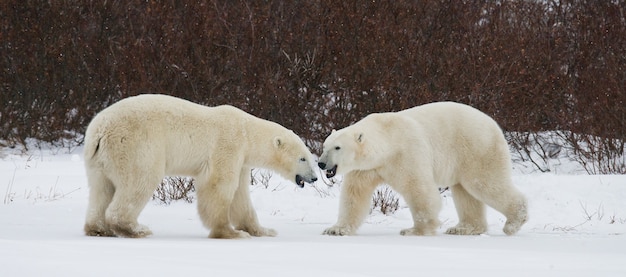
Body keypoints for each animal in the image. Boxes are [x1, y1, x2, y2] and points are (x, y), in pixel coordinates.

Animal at [83, 94, 316, 238]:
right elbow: (218, 187)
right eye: (303, 158)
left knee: (101, 189)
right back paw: (136, 229)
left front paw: (264, 230)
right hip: (135, 146)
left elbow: (240, 196)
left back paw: (98, 229)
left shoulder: (241, 161)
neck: (247, 133)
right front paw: (229, 232)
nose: (314, 177)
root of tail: (100, 131)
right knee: (140, 181)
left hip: (99, 160)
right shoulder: (228, 146)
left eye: (308, 156)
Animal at [316, 101, 528, 235]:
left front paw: (415, 230)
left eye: (337, 147)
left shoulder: (406, 153)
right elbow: (354, 196)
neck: (387, 139)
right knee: (465, 193)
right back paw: (463, 228)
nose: (321, 163)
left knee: (485, 184)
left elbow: (418, 189)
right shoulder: (366, 168)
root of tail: (494, 124)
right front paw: (335, 229)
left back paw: (513, 223)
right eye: (325, 146)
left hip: (477, 150)